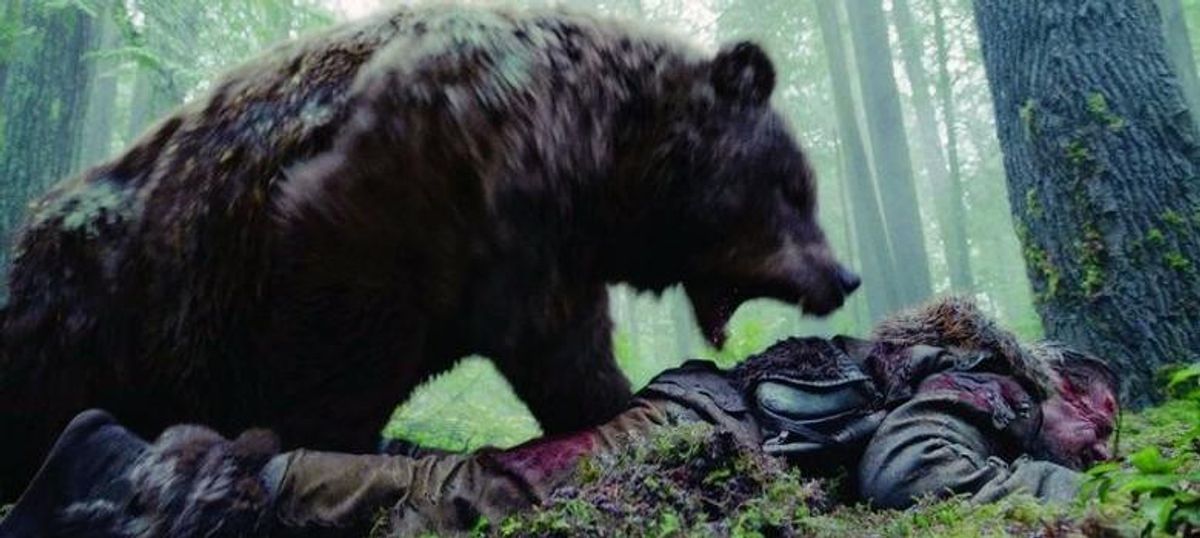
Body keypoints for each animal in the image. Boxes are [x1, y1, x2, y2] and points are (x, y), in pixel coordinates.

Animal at [0, 4, 859, 497]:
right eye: (796, 185)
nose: (844, 275)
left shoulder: (536, 241)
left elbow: (550, 337)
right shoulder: (415, 184)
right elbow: (338, 336)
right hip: (86, 312)